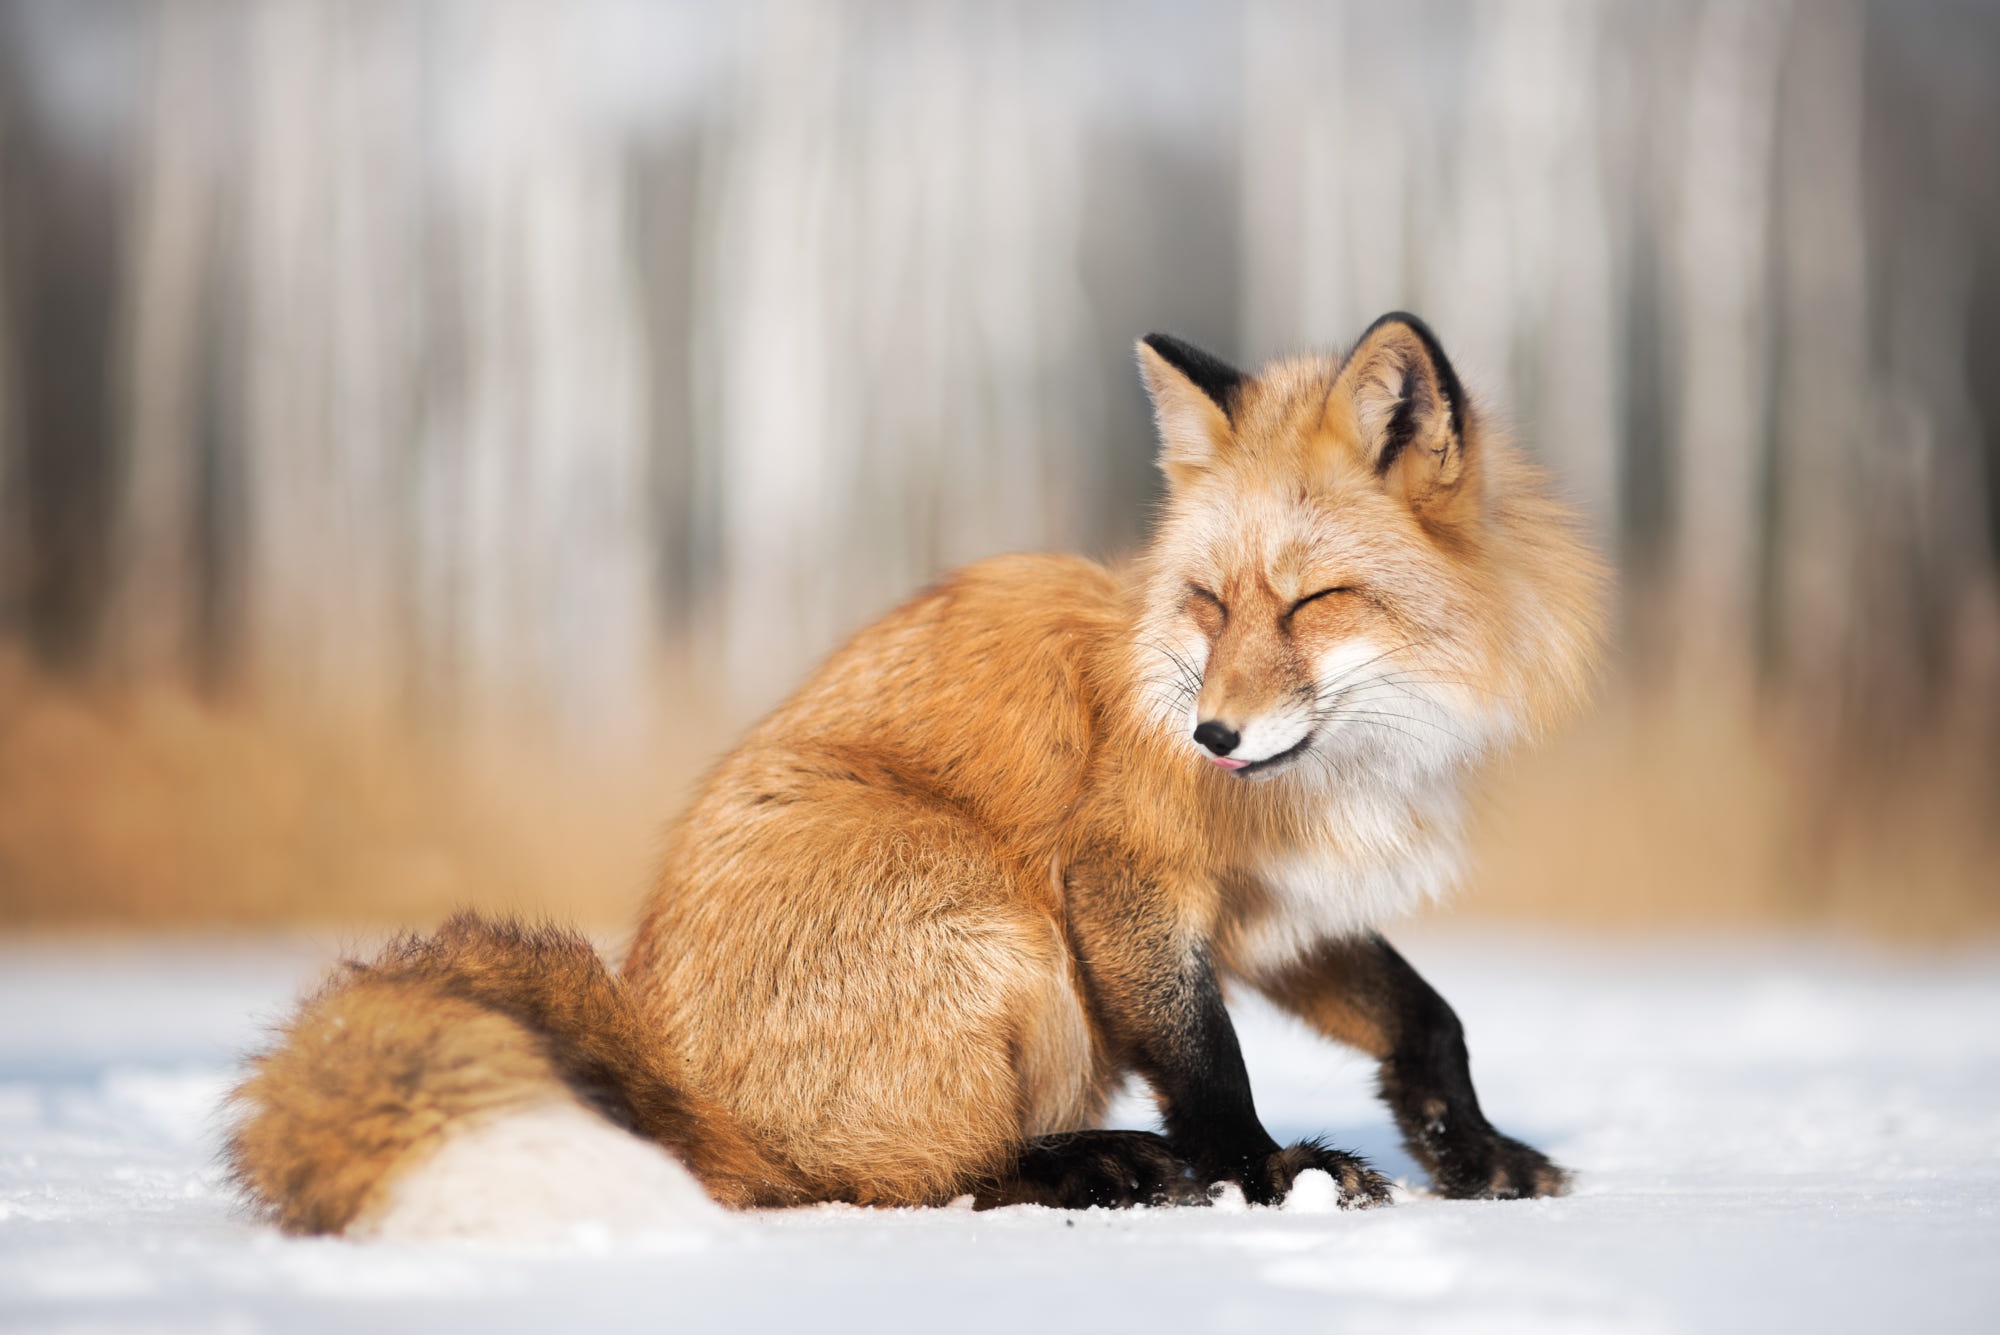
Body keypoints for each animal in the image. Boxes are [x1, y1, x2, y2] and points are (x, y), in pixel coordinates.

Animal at [230, 315, 1608, 1239]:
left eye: (1314, 601)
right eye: (1209, 603)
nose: (1212, 737)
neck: (1340, 773)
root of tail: (671, 1073)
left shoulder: (1279, 909)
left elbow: (1429, 1018)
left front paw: (1474, 1155)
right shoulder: (1124, 879)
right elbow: (1205, 1058)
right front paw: (1261, 1177)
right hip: (1002, 920)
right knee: (890, 1182)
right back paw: (1094, 1169)